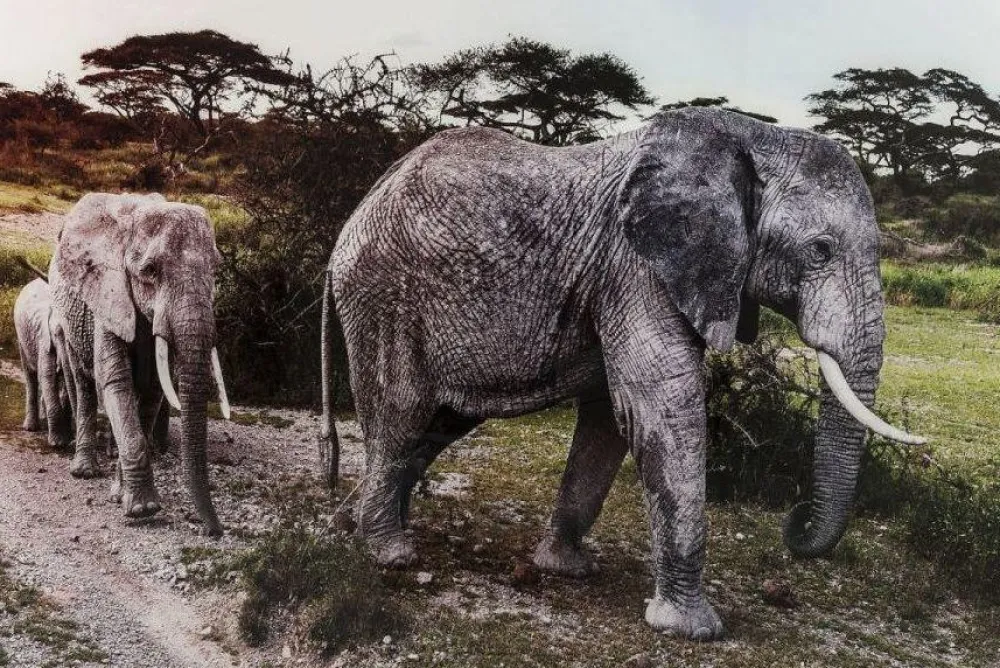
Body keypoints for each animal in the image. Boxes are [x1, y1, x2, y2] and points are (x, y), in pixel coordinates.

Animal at [14, 277, 75, 449]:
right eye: (57, 333)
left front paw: (68, 437)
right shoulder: (43, 339)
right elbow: (47, 378)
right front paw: (58, 443)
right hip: (21, 339)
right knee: (31, 376)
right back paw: (31, 428)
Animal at [49, 192, 231, 535]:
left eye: (215, 268)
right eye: (150, 270)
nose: (213, 530)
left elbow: (152, 392)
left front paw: (122, 496)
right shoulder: (108, 297)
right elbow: (115, 382)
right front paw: (143, 510)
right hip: (68, 318)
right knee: (84, 384)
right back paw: (84, 471)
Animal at [319, 107, 925, 639]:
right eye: (820, 250)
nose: (794, 522)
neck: (752, 135)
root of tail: (353, 219)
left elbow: (611, 420)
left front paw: (565, 569)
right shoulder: (637, 267)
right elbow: (662, 406)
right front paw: (690, 630)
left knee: (439, 424)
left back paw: (367, 525)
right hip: (384, 297)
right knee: (402, 413)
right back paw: (391, 551)